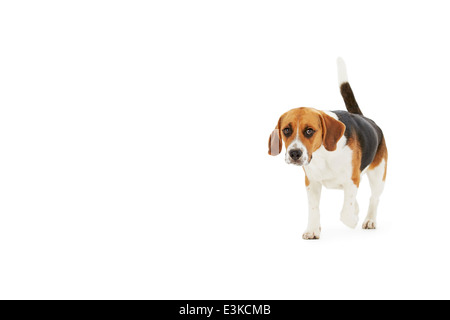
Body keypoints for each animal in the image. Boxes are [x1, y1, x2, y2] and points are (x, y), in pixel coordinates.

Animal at [268, 57, 386, 239]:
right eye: (286, 130)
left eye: (309, 131)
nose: (294, 153)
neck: (323, 155)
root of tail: (366, 118)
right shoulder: (312, 182)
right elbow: (314, 208)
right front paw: (312, 229)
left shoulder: (352, 180)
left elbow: (345, 213)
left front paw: (353, 220)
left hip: (378, 175)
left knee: (374, 198)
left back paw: (369, 220)